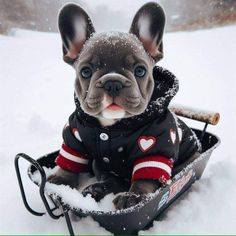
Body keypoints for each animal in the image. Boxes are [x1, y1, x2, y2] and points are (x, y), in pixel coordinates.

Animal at [48, 1, 201, 208]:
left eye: (140, 71)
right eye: (86, 72)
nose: (113, 83)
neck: (112, 128)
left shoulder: (154, 148)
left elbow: (145, 178)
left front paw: (134, 197)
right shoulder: (74, 134)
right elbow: (70, 160)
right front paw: (61, 180)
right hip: (99, 165)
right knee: (114, 179)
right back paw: (97, 188)